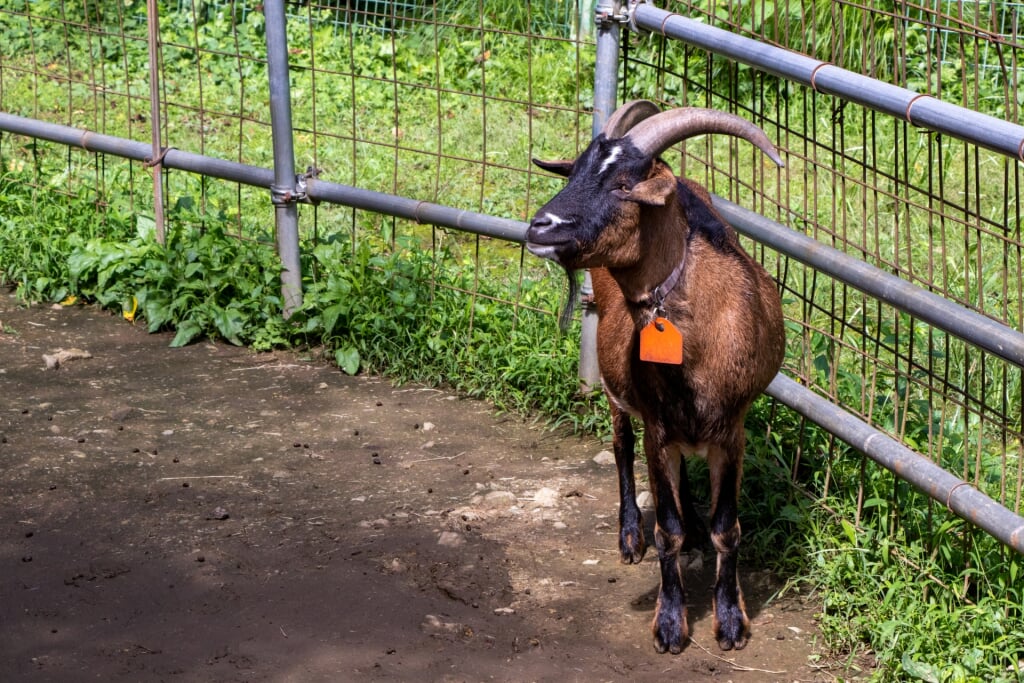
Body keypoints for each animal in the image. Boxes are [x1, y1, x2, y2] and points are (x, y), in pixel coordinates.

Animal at [524, 100, 786, 651]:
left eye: (624, 184)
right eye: (575, 171)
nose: (540, 226)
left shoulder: (732, 430)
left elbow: (727, 527)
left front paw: (731, 621)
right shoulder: (657, 430)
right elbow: (666, 526)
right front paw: (669, 622)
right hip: (617, 391)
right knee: (621, 446)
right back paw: (629, 536)